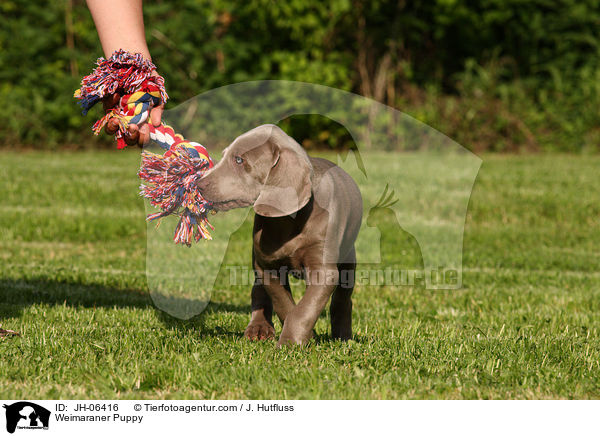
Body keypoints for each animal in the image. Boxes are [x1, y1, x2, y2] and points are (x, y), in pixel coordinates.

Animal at [199, 124, 364, 346]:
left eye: (239, 160)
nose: (198, 184)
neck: (287, 221)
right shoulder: (267, 266)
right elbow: (283, 303)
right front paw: (303, 337)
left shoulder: (323, 269)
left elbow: (305, 308)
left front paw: (290, 342)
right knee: (258, 291)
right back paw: (259, 328)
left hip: (348, 258)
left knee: (343, 299)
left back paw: (343, 336)